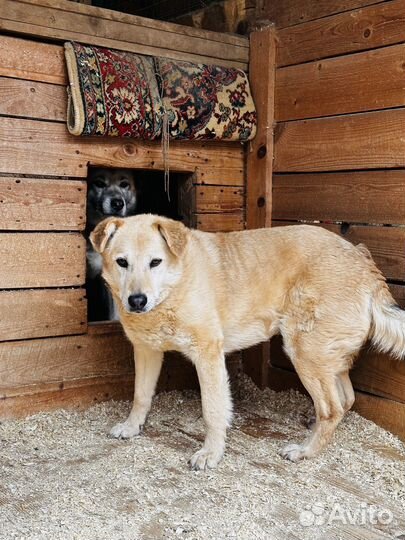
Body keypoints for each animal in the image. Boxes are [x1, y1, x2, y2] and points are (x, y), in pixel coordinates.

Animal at [91, 214, 404, 468]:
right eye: (122, 262)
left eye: (155, 262)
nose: (137, 301)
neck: (175, 286)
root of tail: (362, 259)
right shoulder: (146, 351)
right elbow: (140, 395)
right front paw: (132, 427)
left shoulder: (208, 355)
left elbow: (213, 409)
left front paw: (211, 453)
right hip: (325, 354)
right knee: (346, 398)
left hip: (305, 352)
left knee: (332, 407)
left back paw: (306, 450)